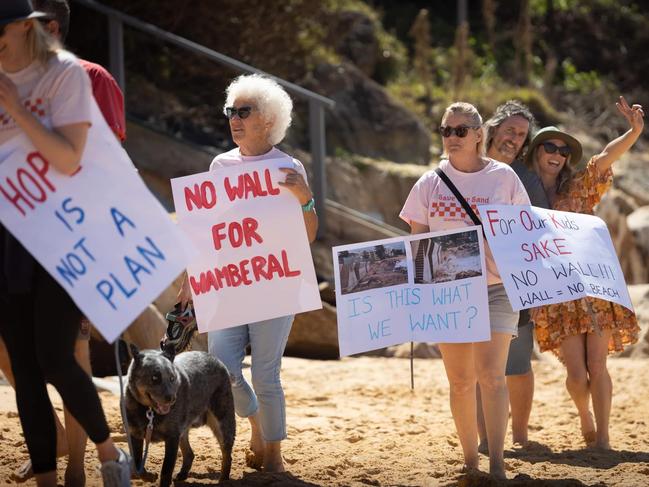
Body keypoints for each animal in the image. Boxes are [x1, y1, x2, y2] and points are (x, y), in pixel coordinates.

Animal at [124, 346, 235, 486]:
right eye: (155, 378)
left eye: (172, 378)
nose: (172, 398)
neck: (149, 411)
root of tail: (214, 358)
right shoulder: (135, 435)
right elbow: (137, 466)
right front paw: (150, 477)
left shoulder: (172, 437)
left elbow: (166, 471)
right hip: (183, 430)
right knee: (190, 454)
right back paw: (182, 475)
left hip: (222, 423)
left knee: (227, 454)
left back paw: (224, 480)